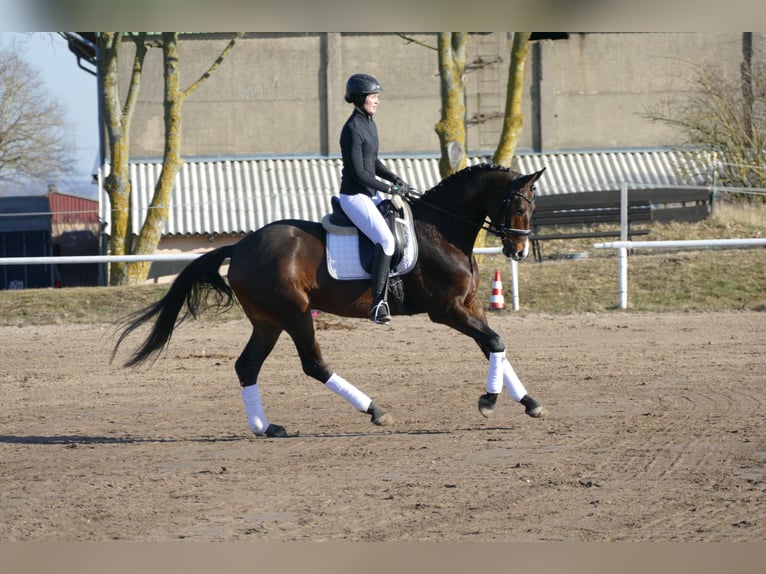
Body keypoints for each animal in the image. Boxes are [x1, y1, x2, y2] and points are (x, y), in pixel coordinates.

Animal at [112, 163, 548, 437]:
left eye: (533, 206)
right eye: (518, 204)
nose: (519, 251)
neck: (442, 228)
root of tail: (241, 246)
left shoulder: (469, 306)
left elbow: (496, 346)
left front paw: (529, 402)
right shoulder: (447, 311)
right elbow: (494, 342)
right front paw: (489, 400)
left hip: (268, 320)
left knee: (247, 365)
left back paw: (266, 427)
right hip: (295, 313)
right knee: (314, 365)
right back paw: (375, 410)